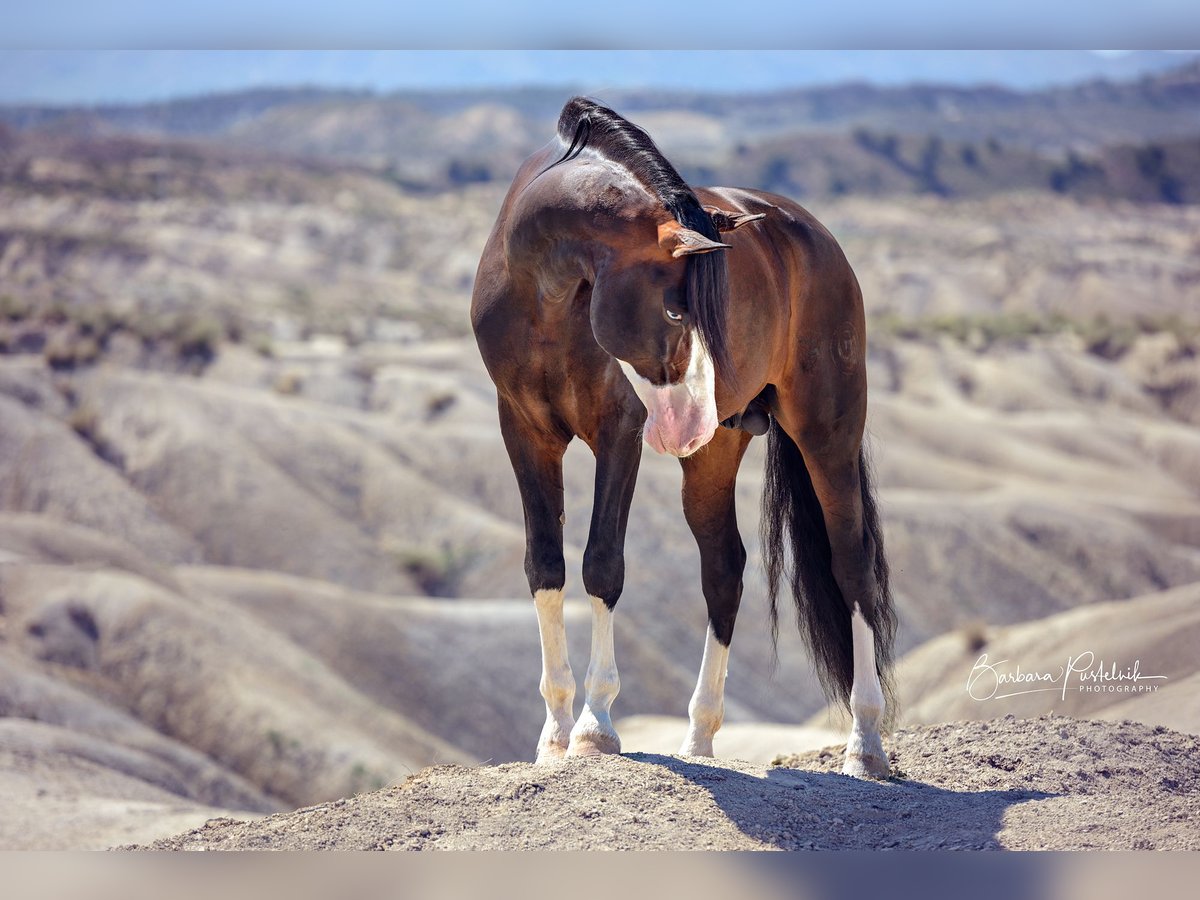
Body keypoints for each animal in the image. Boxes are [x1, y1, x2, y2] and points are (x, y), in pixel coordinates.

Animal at [472, 95, 897, 777]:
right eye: (675, 310)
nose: (691, 422)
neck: (547, 295)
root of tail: (818, 238)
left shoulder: (618, 432)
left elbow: (602, 565)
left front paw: (595, 728)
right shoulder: (524, 429)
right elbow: (545, 566)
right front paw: (554, 735)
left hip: (827, 433)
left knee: (851, 565)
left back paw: (865, 745)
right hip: (715, 457)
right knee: (724, 569)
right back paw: (699, 739)